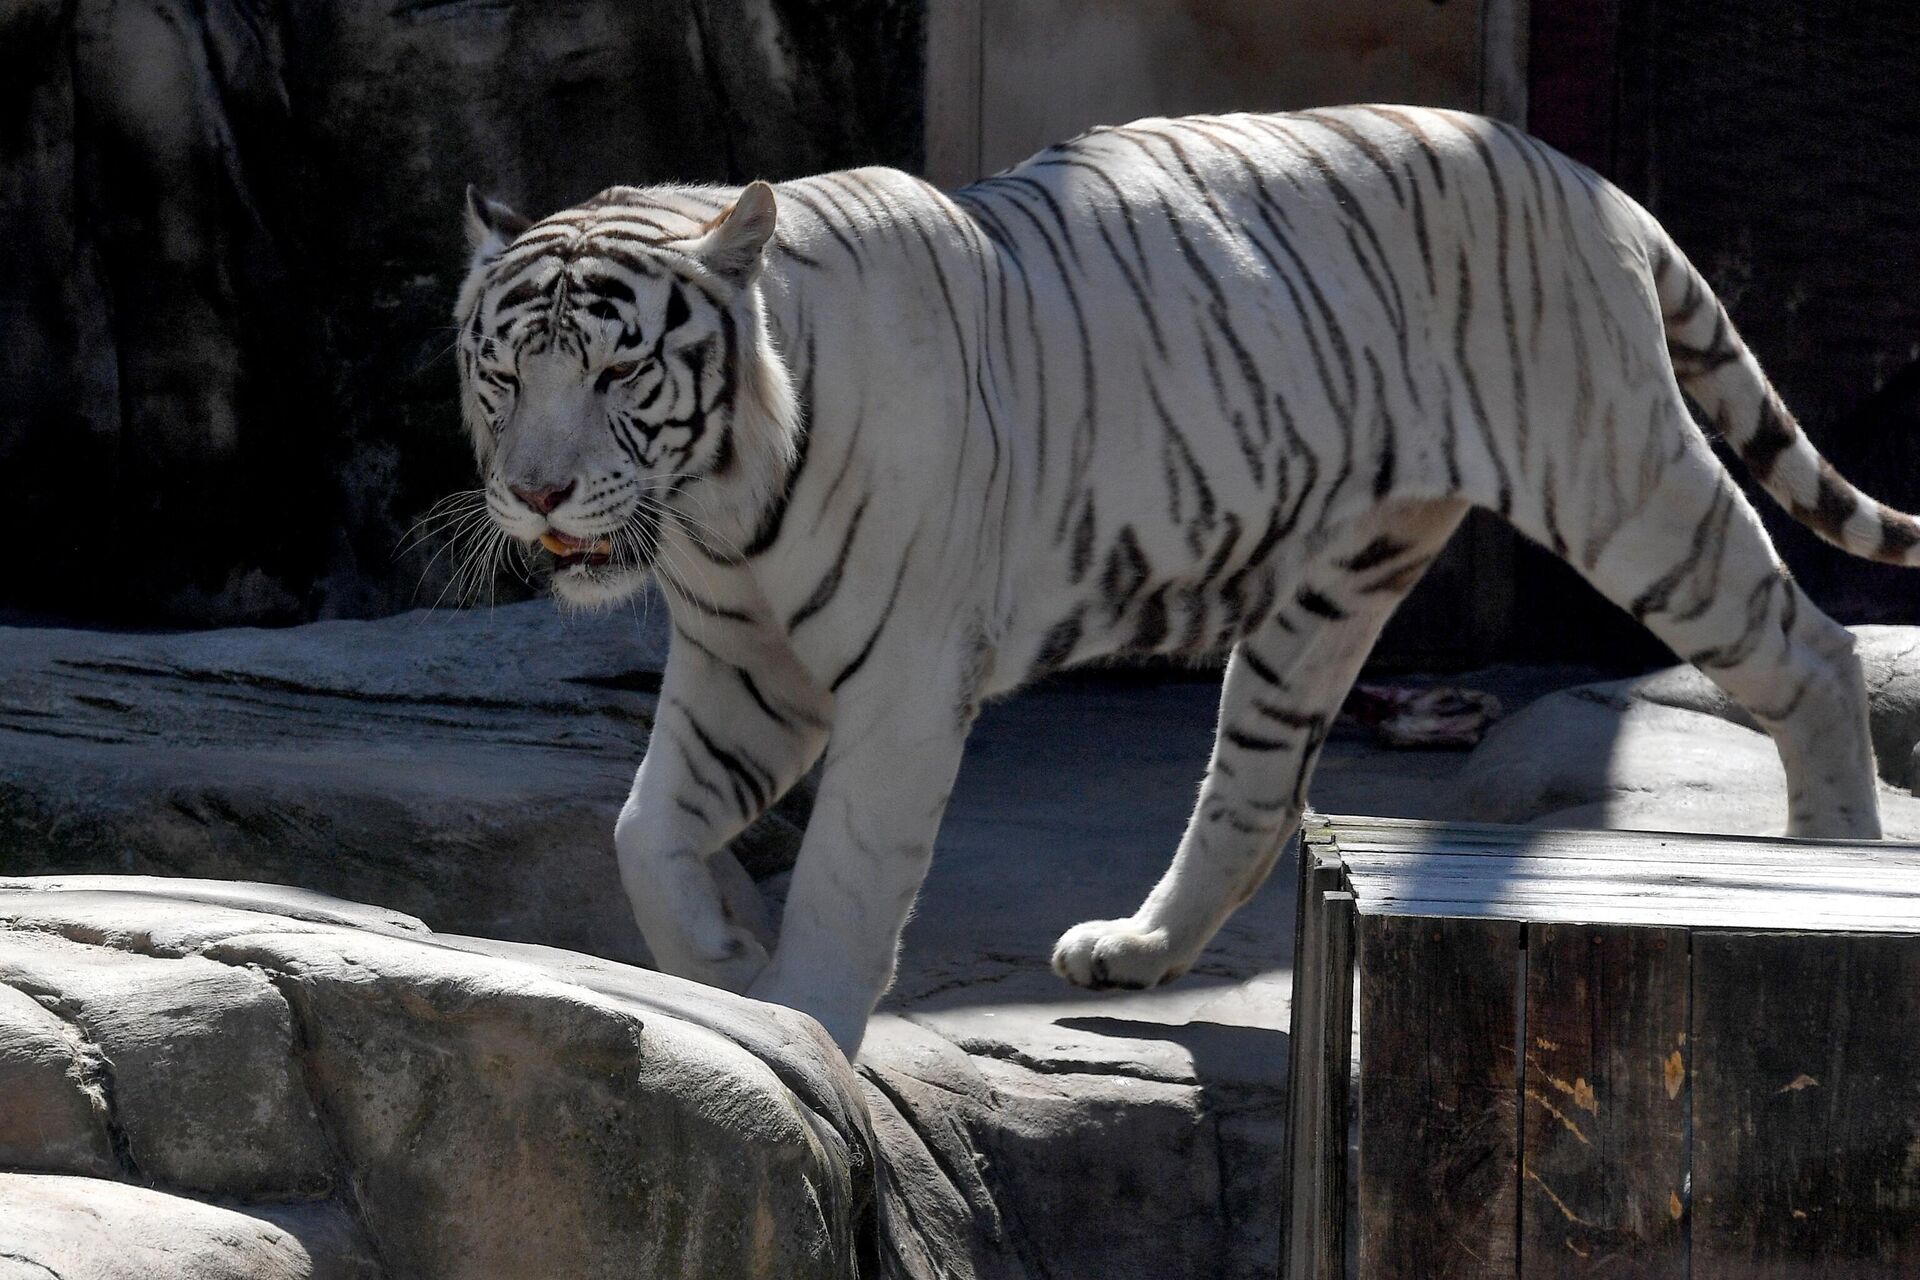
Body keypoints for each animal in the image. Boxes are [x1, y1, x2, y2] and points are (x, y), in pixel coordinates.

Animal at [449, 107, 1904, 1051]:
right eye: (505, 371)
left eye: (621, 370)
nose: (537, 491)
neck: (721, 509)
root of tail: (1586, 176)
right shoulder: (745, 666)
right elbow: (643, 828)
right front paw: (717, 958)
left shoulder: (900, 682)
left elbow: (849, 877)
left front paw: (797, 1021)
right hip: (1329, 587)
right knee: (1257, 788)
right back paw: (1137, 949)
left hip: (1618, 477)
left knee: (1810, 650)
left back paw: (1836, 865)